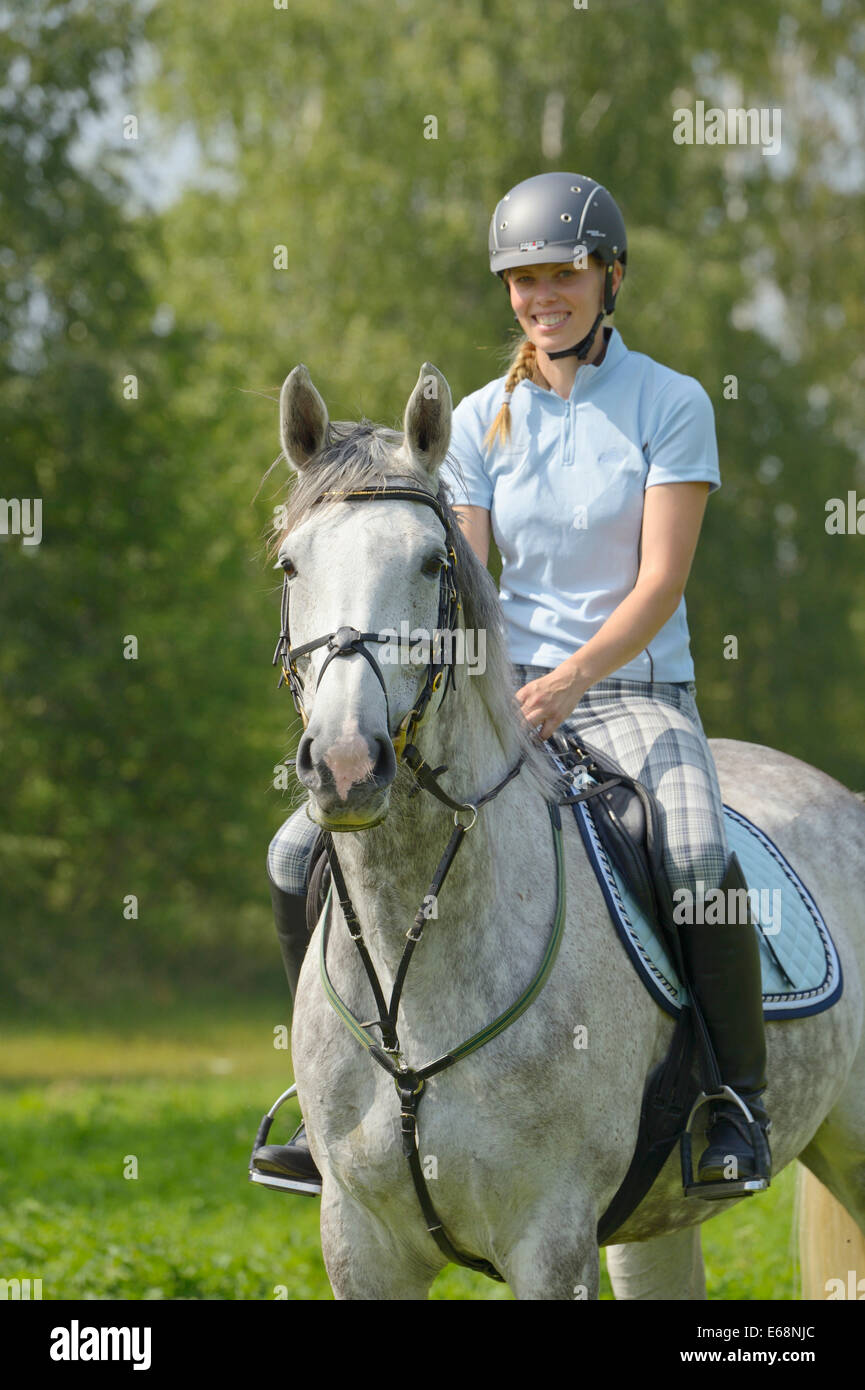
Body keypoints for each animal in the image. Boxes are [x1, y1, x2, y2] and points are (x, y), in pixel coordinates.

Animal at [276, 364, 865, 1295]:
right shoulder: (360, 1244)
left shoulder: (548, 1241)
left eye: (432, 562)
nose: (343, 763)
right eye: (291, 563)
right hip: (655, 1225)